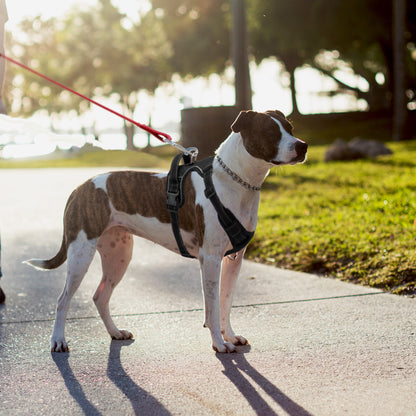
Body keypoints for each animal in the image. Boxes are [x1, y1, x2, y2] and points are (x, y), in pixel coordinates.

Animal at [25, 109, 306, 352]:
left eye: (290, 128)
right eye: (270, 131)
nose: (302, 146)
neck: (234, 182)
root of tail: (80, 187)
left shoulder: (234, 260)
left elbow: (225, 302)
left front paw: (230, 336)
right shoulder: (211, 259)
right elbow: (212, 307)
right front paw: (219, 343)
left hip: (118, 254)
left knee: (100, 296)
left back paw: (115, 332)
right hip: (81, 253)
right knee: (63, 300)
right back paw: (58, 340)